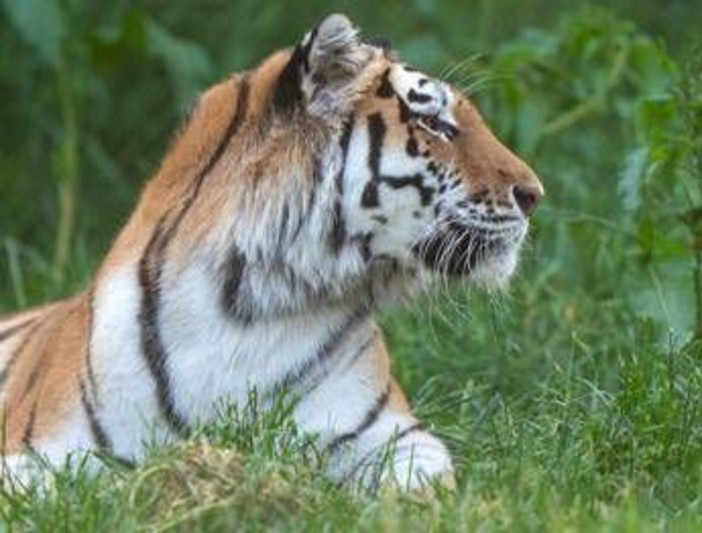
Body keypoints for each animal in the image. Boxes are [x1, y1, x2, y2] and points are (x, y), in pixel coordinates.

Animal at [0, 14, 543, 491]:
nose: (534, 194)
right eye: (434, 124)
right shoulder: (40, 452)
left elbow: (419, 483)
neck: (248, 304)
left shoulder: (392, 434)